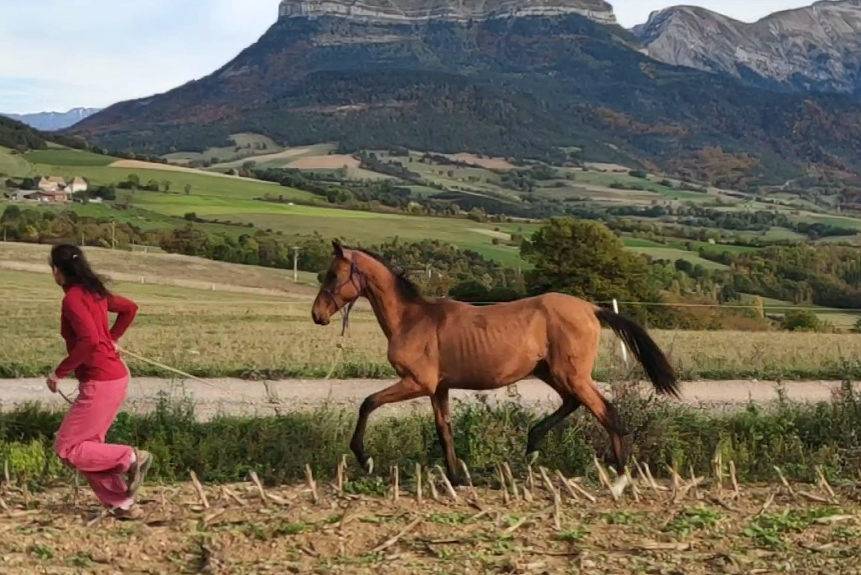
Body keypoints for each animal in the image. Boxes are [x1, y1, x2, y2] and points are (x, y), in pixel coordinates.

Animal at [311, 241, 679, 481]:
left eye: (333, 275)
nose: (317, 315)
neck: (411, 319)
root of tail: (592, 309)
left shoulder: (417, 382)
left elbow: (368, 403)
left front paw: (364, 458)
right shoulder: (438, 388)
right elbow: (444, 429)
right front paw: (457, 477)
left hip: (570, 374)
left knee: (606, 412)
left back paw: (620, 474)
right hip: (551, 373)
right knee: (573, 403)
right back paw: (532, 444)